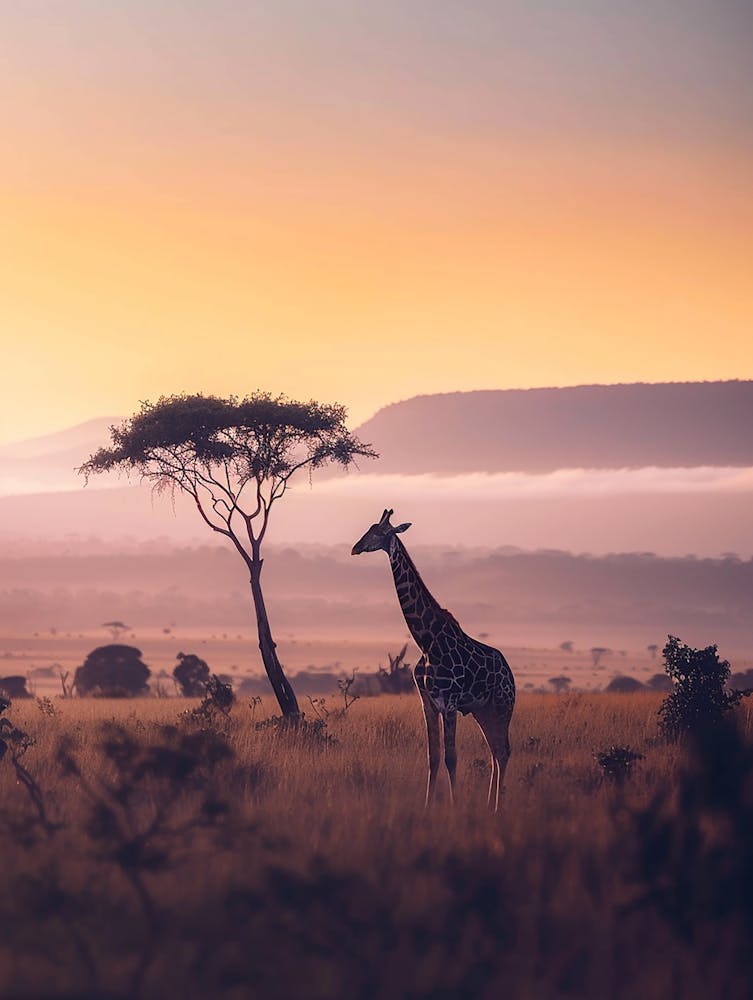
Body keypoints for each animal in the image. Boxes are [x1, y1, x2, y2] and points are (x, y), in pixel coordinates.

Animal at [352, 509, 515, 811]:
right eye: (368, 529)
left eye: (380, 532)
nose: (356, 547)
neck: (427, 641)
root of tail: (510, 673)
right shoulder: (427, 703)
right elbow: (434, 757)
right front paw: (428, 806)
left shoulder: (448, 702)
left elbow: (451, 758)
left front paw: (454, 806)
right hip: (482, 710)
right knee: (495, 751)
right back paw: (490, 804)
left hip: (502, 705)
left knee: (503, 751)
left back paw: (498, 806)